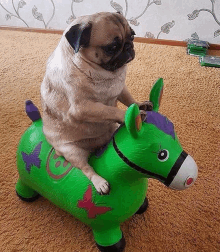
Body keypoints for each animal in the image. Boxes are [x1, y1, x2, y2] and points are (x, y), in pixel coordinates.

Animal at [40, 12, 151, 195]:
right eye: (112, 47)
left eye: (132, 36)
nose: (129, 46)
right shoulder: (83, 108)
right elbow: (109, 111)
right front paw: (129, 115)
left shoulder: (121, 88)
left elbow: (128, 99)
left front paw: (139, 105)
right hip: (72, 151)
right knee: (86, 168)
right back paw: (100, 182)